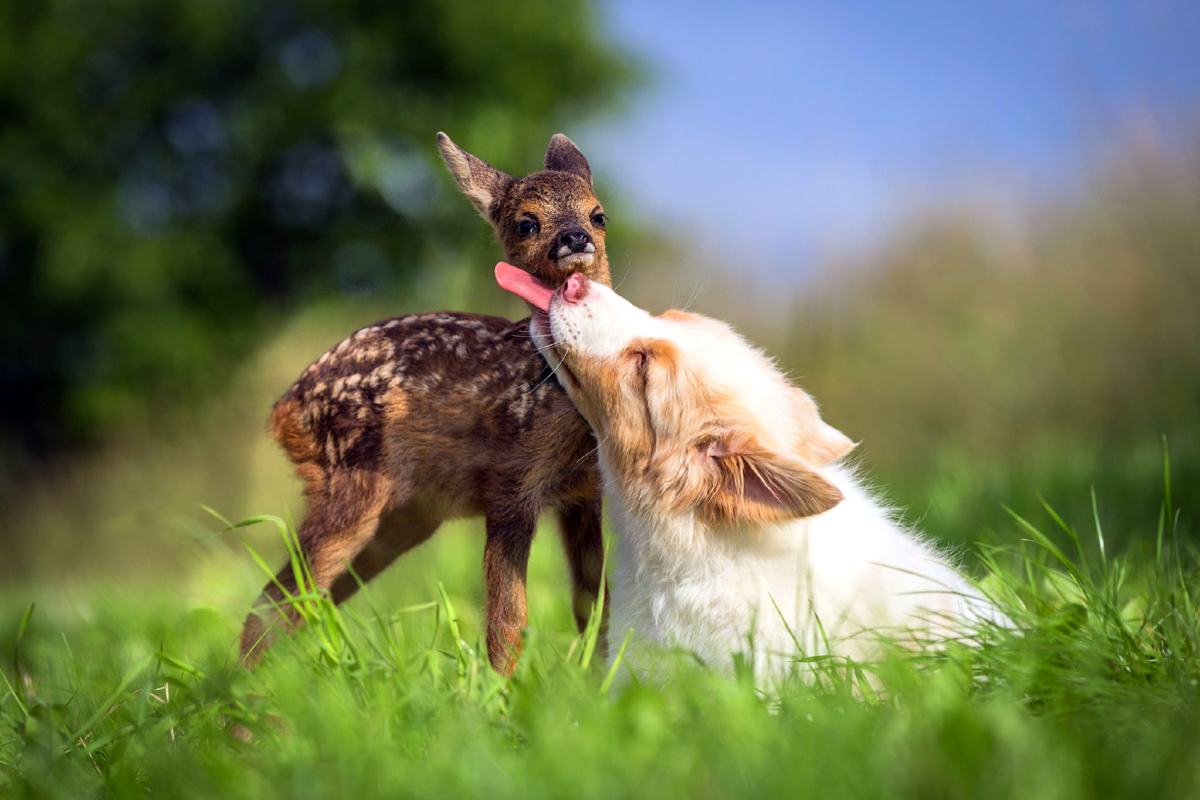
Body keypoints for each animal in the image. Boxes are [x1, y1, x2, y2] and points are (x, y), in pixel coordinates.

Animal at [243, 133, 619, 676]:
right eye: (527, 223)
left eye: (598, 214)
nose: (574, 237)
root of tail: (283, 411)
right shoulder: (510, 483)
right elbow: (508, 619)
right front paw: (504, 695)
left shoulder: (585, 493)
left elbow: (595, 607)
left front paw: (599, 686)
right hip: (352, 483)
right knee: (272, 605)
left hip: (407, 516)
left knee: (307, 603)